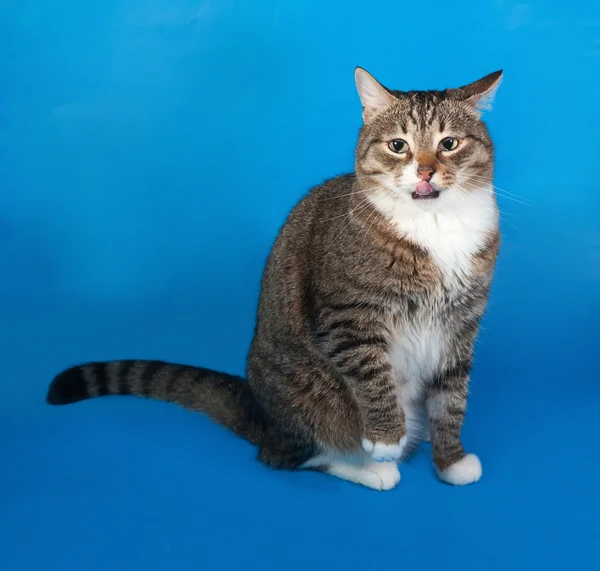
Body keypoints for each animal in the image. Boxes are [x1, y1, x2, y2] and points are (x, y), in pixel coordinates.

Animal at [49, 68, 504, 492]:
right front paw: (386, 437)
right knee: (294, 455)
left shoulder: (462, 324)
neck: (435, 228)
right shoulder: (349, 316)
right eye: (398, 146)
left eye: (449, 144)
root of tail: (264, 416)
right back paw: (371, 467)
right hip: (315, 398)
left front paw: (451, 461)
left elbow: (452, 398)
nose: (425, 172)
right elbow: (373, 376)